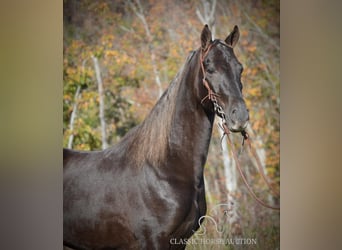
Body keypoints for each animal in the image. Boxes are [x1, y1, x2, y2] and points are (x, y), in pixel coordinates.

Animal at [64, 23, 248, 250]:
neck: (165, 169)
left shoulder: (180, 241)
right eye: (210, 68)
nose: (241, 116)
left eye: (240, 68)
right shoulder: (154, 241)